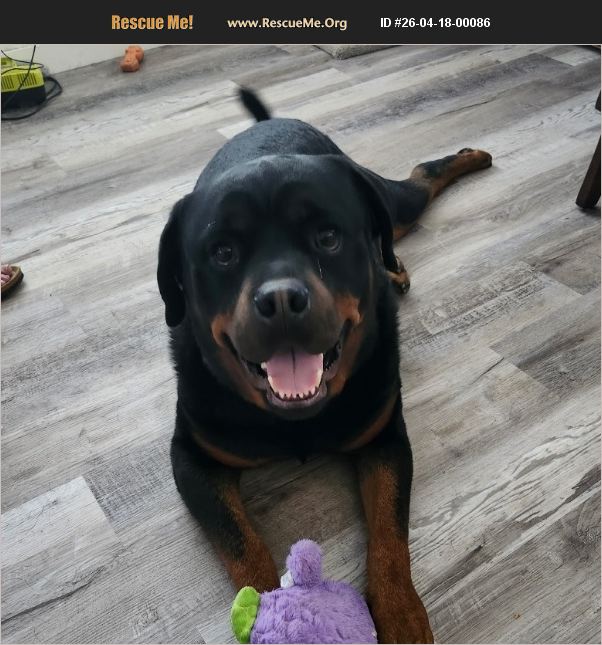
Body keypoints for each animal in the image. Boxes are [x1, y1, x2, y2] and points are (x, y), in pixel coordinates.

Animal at [157, 88, 492, 643]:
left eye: (328, 238)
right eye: (222, 252)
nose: (281, 299)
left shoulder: (384, 438)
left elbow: (390, 533)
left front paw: (401, 613)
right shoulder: (193, 458)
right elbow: (243, 545)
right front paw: (267, 609)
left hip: (388, 201)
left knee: (415, 184)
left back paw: (470, 161)